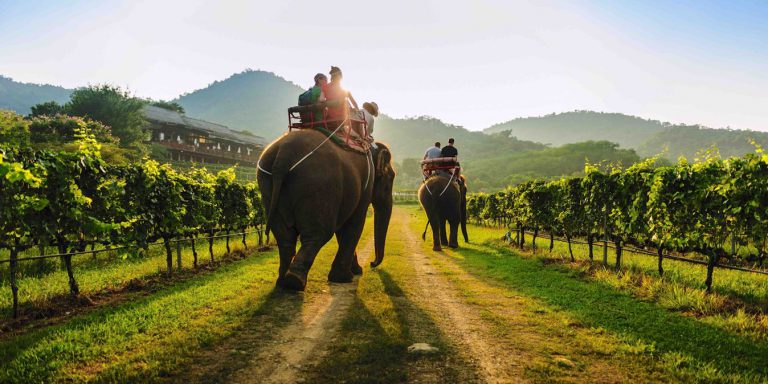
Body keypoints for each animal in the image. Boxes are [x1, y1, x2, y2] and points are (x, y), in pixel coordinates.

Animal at [258, 130, 396, 292]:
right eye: (388, 183)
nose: (372, 264)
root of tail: (283, 154)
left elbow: (343, 228)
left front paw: (355, 271)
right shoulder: (365, 186)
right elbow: (354, 223)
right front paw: (345, 277)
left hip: (267, 186)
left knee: (284, 236)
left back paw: (283, 282)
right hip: (319, 185)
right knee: (318, 234)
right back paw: (294, 281)